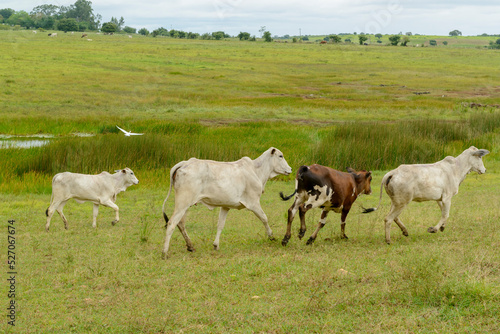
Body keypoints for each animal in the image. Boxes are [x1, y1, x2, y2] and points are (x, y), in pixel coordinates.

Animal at [160, 147, 292, 258]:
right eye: (280, 156)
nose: (290, 169)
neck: (256, 170)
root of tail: (185, 162)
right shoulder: (253, 203)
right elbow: (264, 218)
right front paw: (271, 236)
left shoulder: (225, 206)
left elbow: (220, 225)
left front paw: (215, 245)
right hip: (183, 203)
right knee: (172, 223)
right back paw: (165, 253)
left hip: (187, 205)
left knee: (181, 223)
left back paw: (190, 246)